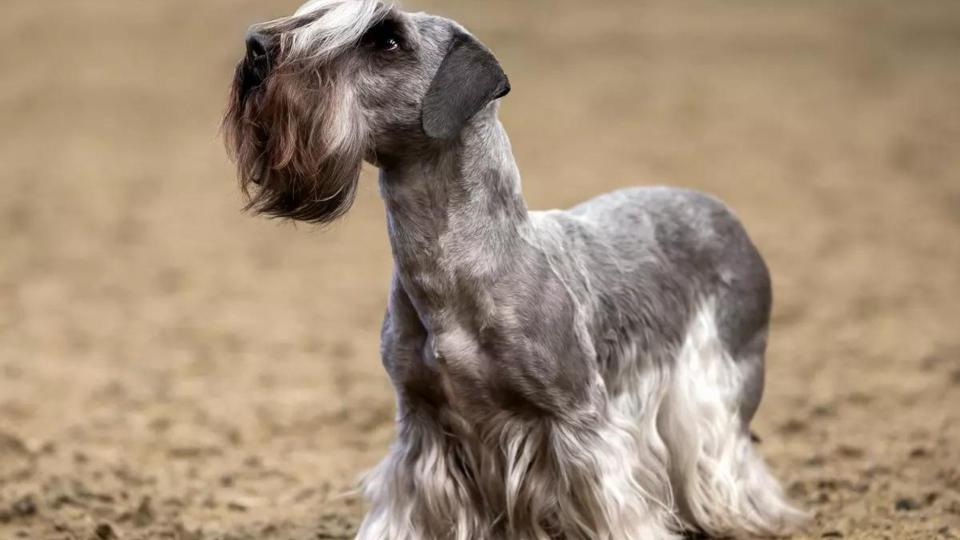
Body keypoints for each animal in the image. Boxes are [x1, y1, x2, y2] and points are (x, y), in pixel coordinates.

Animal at [221, 1, 808, 540]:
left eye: (386, 39)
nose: (256, 46)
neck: (457, 269)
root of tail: (723, 213)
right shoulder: (422, 428)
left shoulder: (581, 427)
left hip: (717, 385)